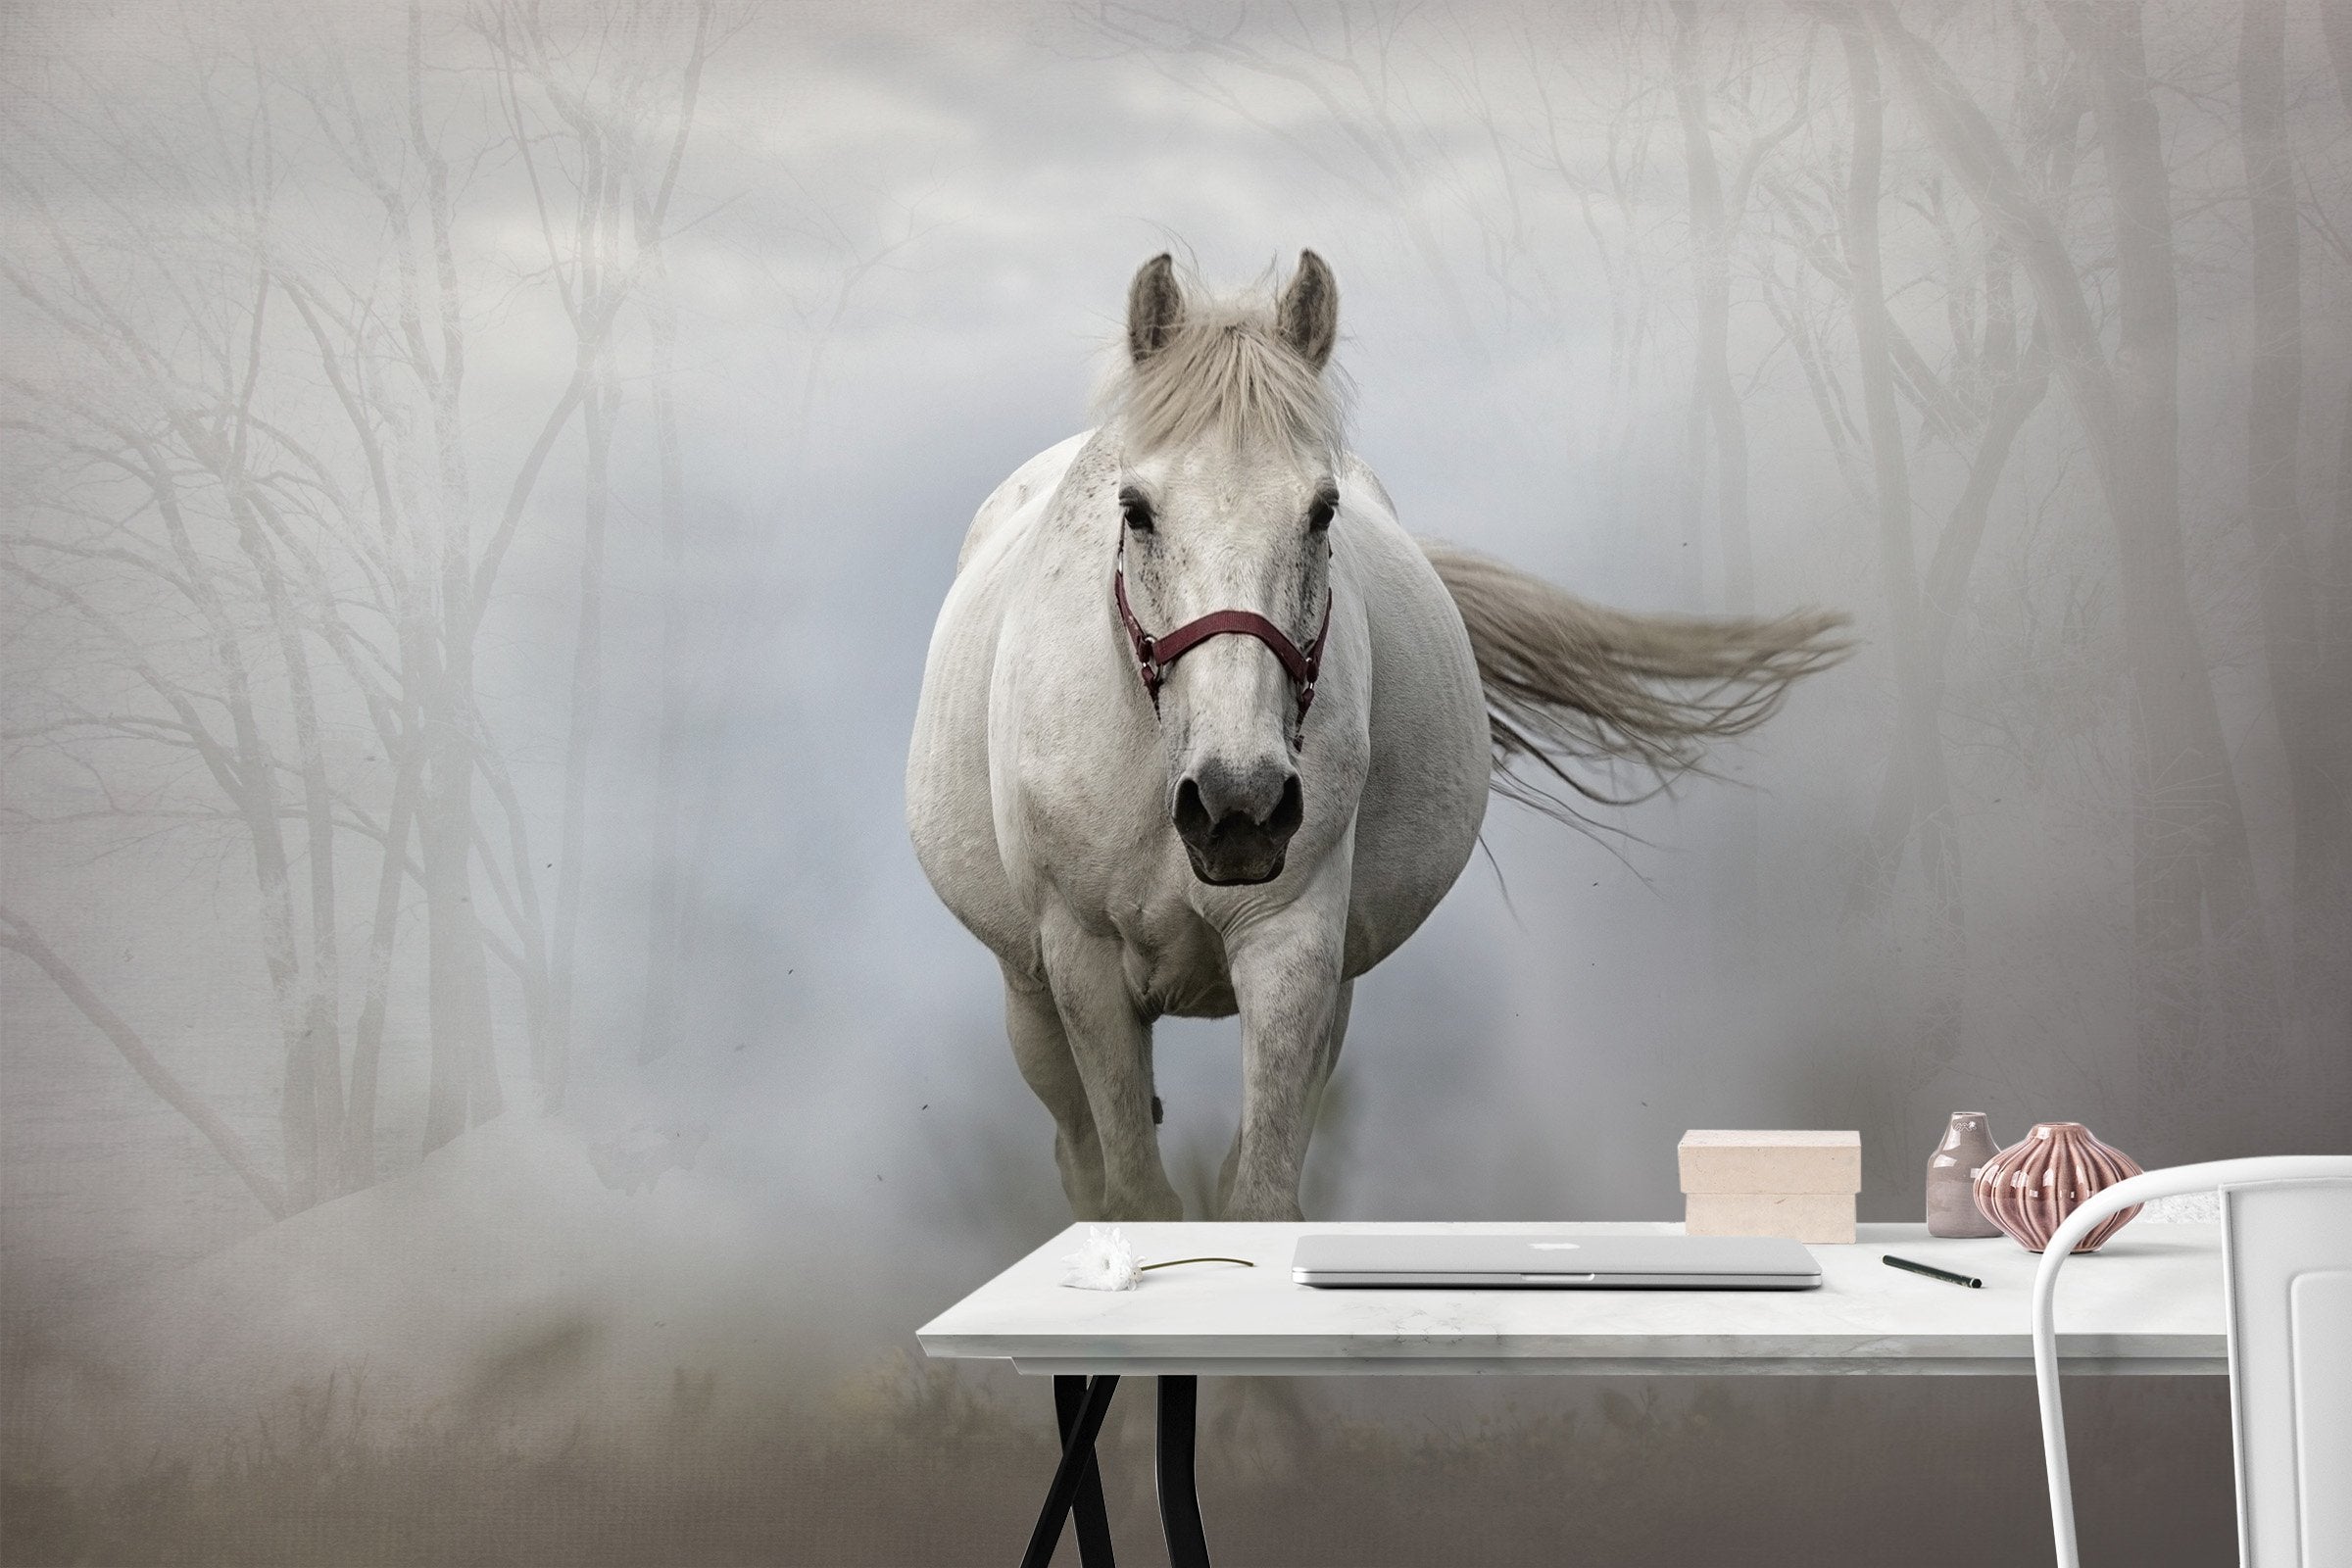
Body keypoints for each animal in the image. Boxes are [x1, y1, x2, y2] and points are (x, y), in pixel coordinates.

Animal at [906, 251, 1847, 1222]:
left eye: (1322, 512)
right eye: (1136, 510)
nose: (1237, 805)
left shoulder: (1294, 950)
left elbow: (1261, 1196)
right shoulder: (1085, 967)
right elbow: (1132, 1196)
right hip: (1030, 996)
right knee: (1079, 1154)